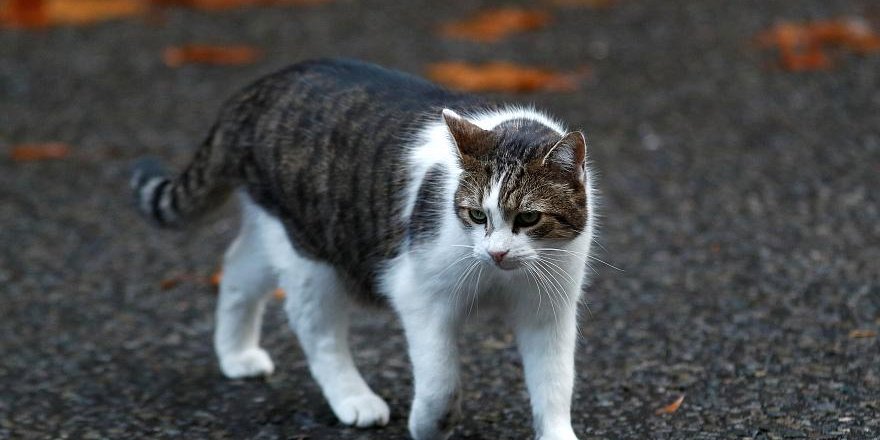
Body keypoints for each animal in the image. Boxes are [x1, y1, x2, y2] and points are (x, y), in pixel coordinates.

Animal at [132, 58, 600, 440]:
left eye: (528, 218)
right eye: (476, 215)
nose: (497, 253)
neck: (498, 277)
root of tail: (260, 89)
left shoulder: (548, 311)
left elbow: (555, 381)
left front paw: (557, 432)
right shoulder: (419, 295)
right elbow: (441, 380)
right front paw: (429, 425)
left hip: (278, 227)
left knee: (236, 270)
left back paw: (236, 355)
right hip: (311, 255)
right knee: (315, 329)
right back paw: (353, 399)